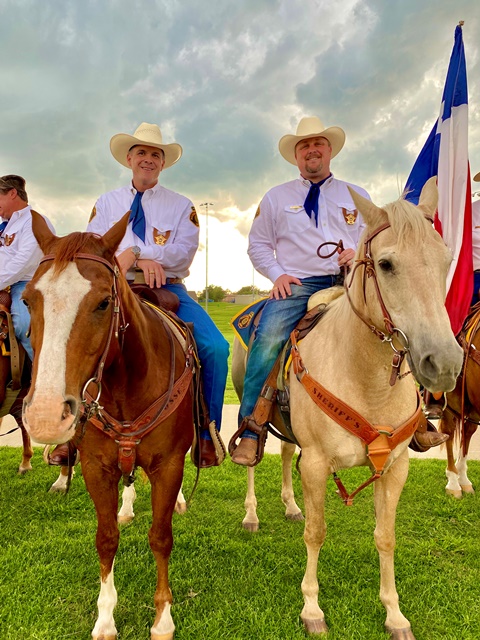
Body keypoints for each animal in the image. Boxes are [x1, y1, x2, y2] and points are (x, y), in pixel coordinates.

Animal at [20, 211, 193, 640]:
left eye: (103, 302)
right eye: (28, 299)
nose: (45, 415)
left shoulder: (168, 466)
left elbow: (161, 536)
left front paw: (163, 618)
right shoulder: (97, 468)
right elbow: (106, 538)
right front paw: (105, 618)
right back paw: (127, 507)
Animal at [234, 176, 464, 640]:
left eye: (445, 260)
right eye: (387, 264)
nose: (445, 364)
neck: (365, 378)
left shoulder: (394, 467)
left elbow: (385, 535)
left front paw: (394, 614)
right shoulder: (317, 464)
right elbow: (316, 533)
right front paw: (311, 609)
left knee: (284, 454)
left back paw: (290, 506)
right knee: (254, 458)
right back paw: (251, 514)